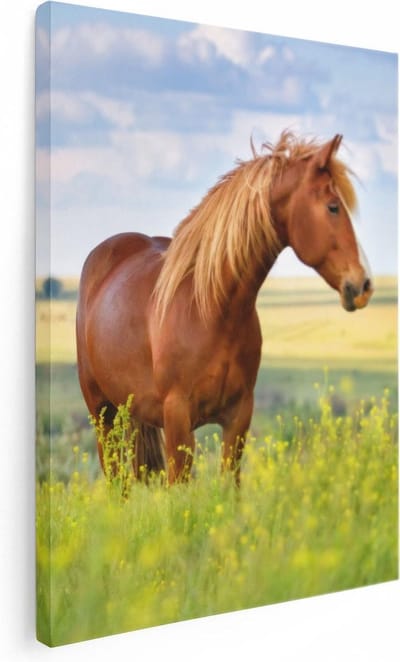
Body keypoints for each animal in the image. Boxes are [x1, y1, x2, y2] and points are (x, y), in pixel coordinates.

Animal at [76, 130, 373, 486]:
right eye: (332, 207)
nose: (363, 285)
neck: (210, 310)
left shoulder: (238, 418)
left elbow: (230, 485)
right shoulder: (177, 419)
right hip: (102, 414)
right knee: (116, 482)